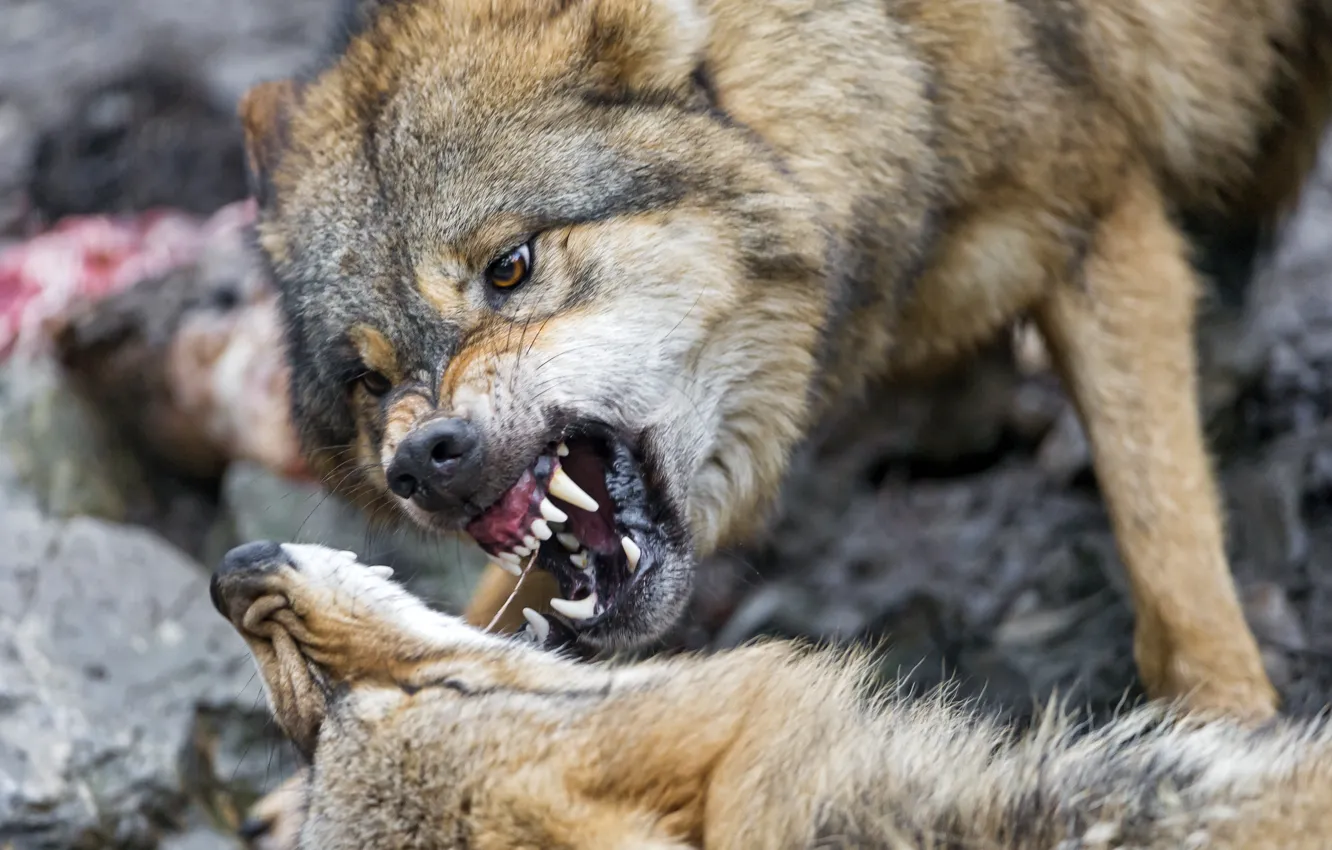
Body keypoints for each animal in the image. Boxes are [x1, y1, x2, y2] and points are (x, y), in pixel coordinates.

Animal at [238, 0, 1332, 718]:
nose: (424, 460)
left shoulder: (1100, 209)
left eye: (510, 267)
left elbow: (1164, 531)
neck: (887, 62)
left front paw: (1229, 721)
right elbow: (491, 617)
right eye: (371, 381)